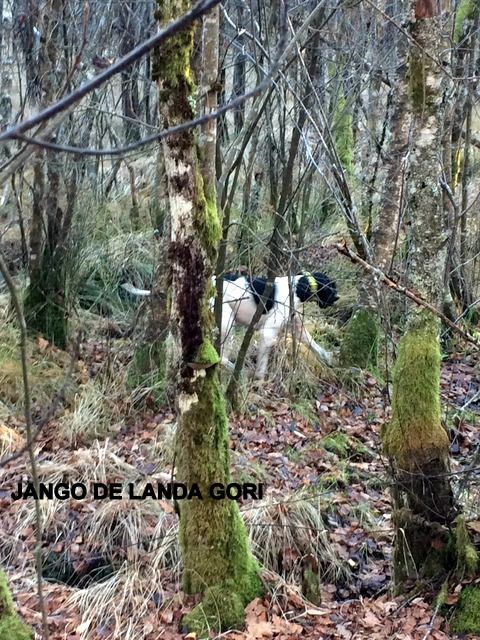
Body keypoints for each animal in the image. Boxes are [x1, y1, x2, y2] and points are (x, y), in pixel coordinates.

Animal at [121, 270, 338, 380]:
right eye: (332, 288)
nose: (338, 297)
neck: (297, 288)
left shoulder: (297, 328)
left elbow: (314, 345)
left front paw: (329, 358)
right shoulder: (268, 333)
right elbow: (262, 364)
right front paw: (259, 380)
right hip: (227, 323)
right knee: (221, 356)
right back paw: (237, 370)